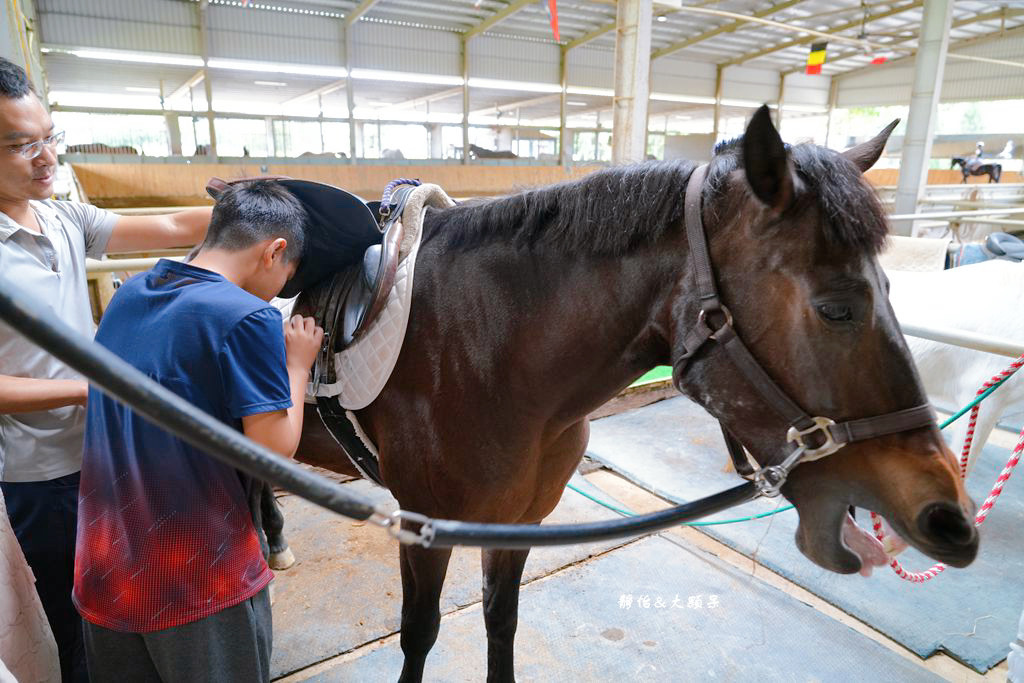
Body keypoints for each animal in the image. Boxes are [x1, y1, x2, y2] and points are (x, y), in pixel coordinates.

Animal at [290, 104, 974, 679]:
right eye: (836, 308)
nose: (950, 518)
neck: (478, 348)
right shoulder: (420, 529)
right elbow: (419, 634)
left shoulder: (517, 523)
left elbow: (500, 621)